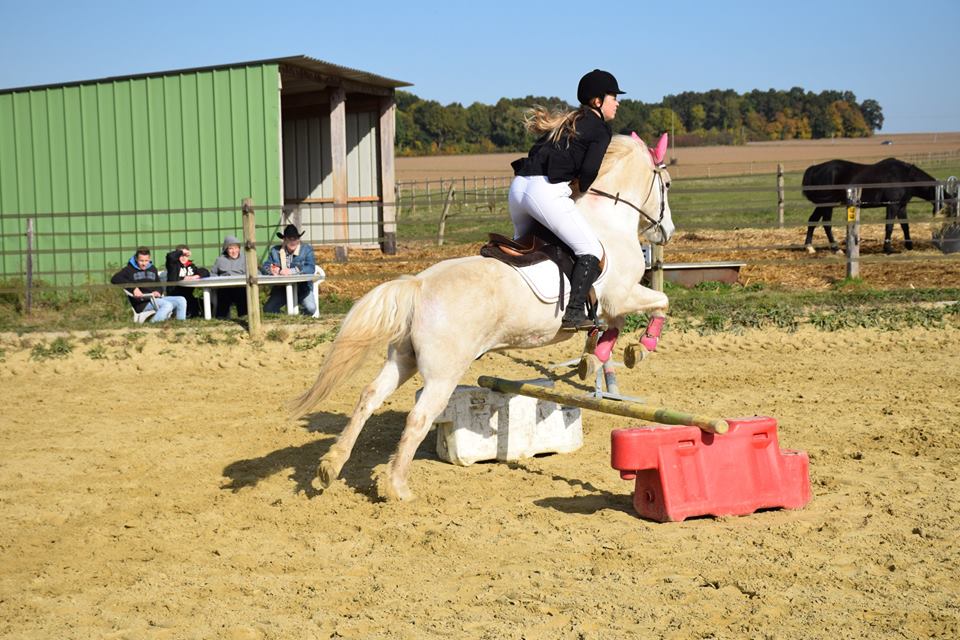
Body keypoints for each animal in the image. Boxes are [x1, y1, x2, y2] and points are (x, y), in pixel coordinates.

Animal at [292, 134, 676, 500]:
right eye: (668, 184)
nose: (666, 232)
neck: (606, 221)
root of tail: (419, 285)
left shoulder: (614, 303)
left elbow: (614, 326)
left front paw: (597, 357)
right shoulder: (620, 295)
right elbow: (661, 302)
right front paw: (641, 347)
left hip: (404, 359)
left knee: (369, 397)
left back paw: (330, 466)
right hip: (442, 373)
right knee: (418, 417)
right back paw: (397, 487)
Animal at [804, 157, 936, 252]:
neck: (904, 176)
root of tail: (815, 168)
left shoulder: (901, 206)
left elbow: (905, 226)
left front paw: (909, 246)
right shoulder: (892, 205)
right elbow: (889, 226)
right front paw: (888, 249)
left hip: (821, 205)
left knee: (812, 220)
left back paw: (809, 247)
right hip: (827, 205)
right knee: (826, 224)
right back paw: (836, 249)